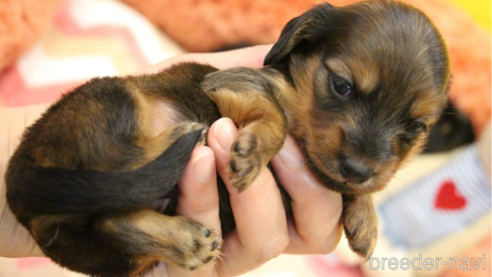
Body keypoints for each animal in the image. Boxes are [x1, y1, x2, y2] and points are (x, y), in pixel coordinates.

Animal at [4, 1, 450, 274]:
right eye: (342, 86)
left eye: (417, 127)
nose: (357, 169)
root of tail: (20, 178)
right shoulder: (232, 86)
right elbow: (277, 115)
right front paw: (252, 152)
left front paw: (364, 217)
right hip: (114, 101)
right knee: (123, 171)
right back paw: (181, 136)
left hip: (112, 254)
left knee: (113, 218)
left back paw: (185, 240)